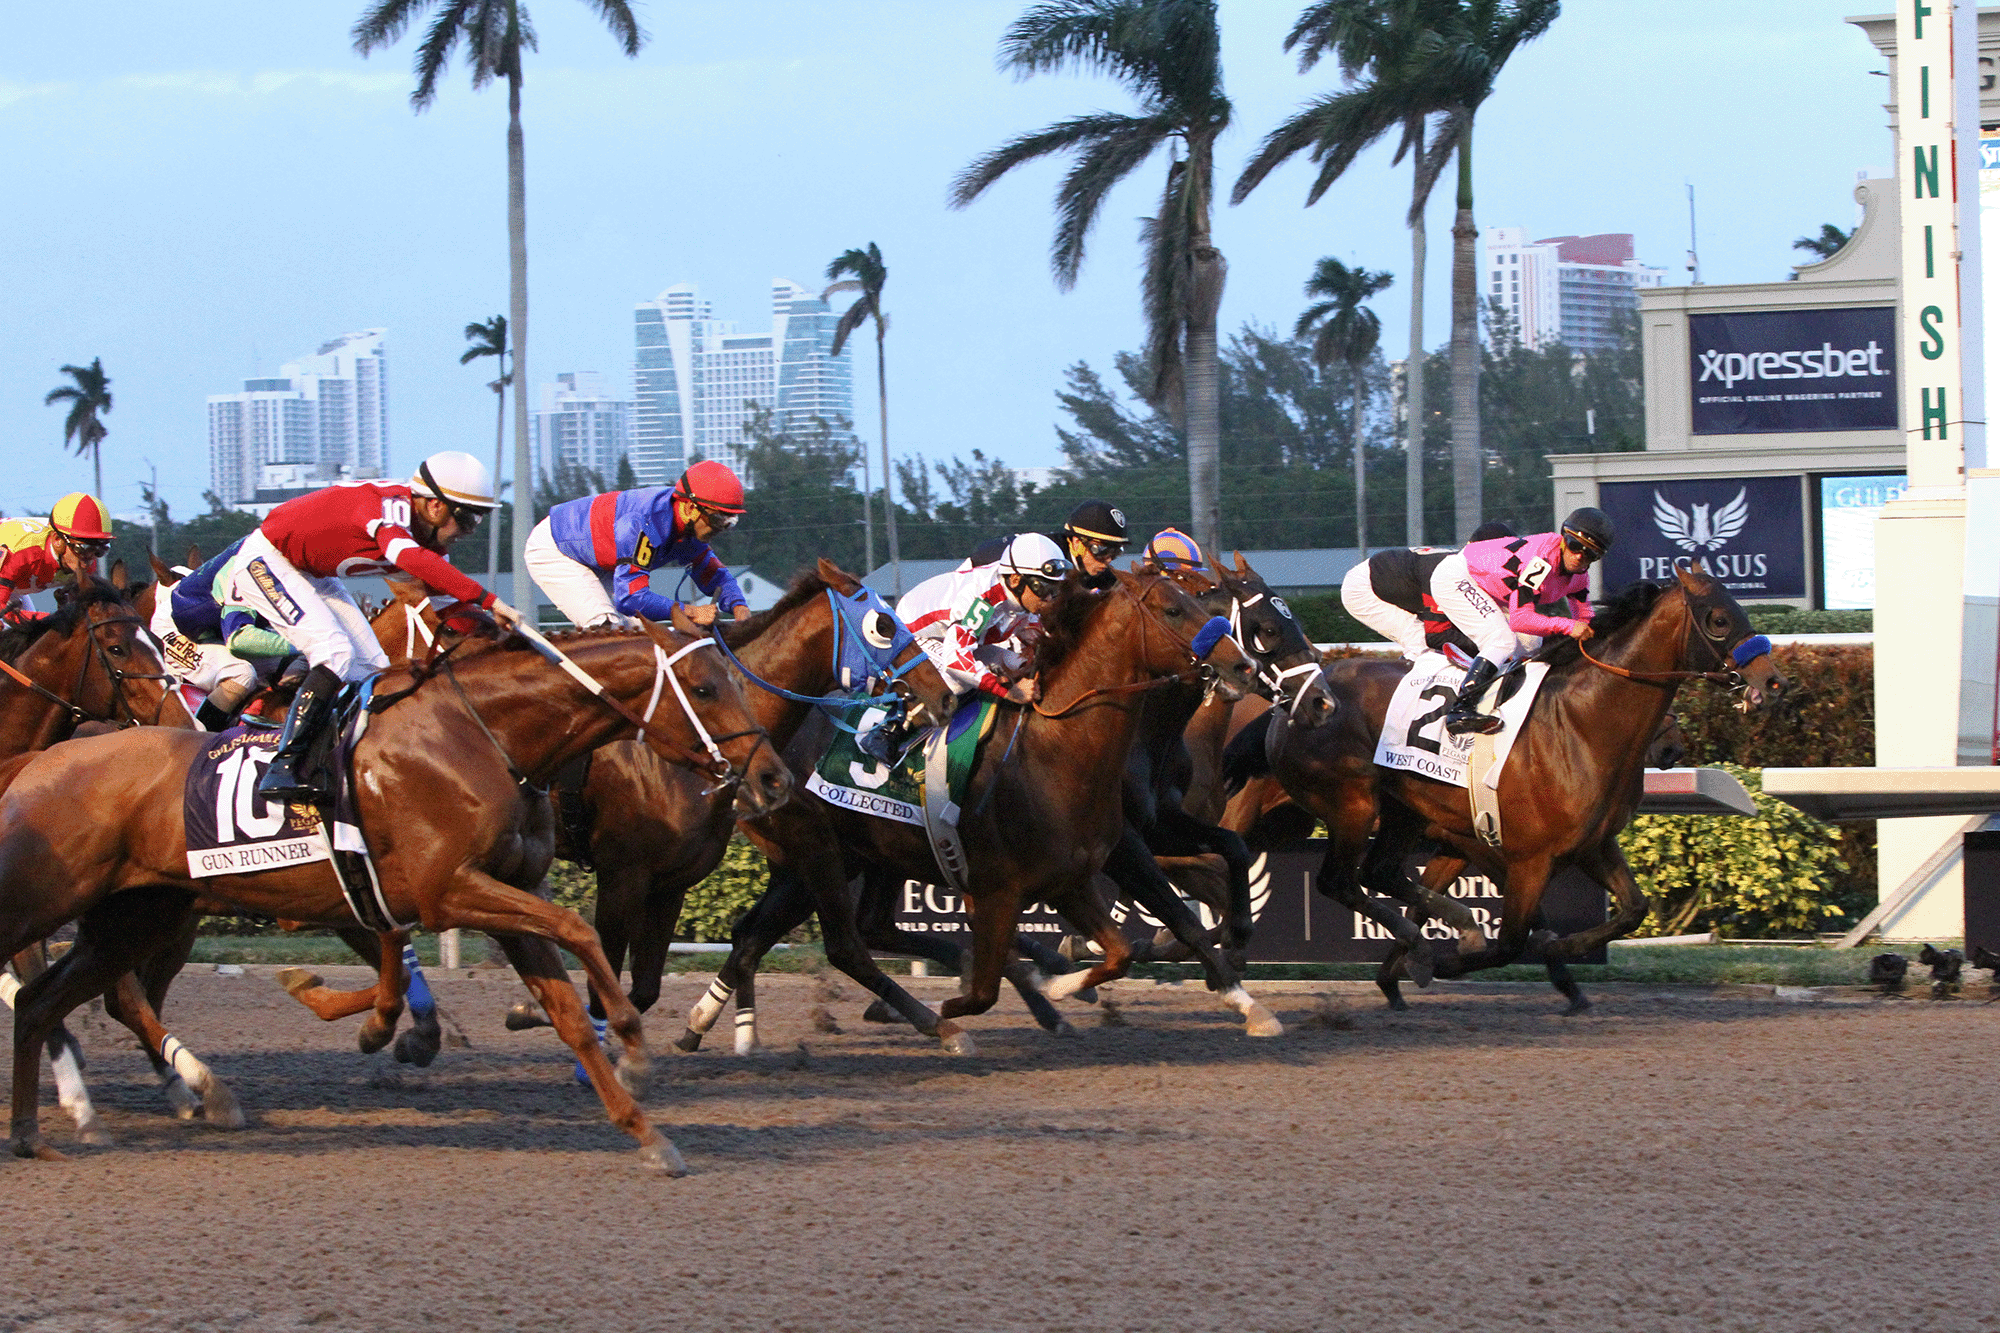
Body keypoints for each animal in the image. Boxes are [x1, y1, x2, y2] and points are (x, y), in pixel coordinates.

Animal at [0, 608, 796, 1168]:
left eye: (737, 681)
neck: (483, 736)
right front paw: (631, 1040)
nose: (774, 779)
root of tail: (39, 762)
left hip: (136, 917)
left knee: (46, 1001)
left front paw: (646, 1133)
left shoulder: (500, 896)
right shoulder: (448, 890)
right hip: (57, 900)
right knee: (58, 990)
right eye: (703, 687)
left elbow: (567, 1007)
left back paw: (38, 1130)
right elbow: (578, 932)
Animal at [680, 564, 1256, 1048]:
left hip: (858, 858)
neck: (1054, 751)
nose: (1242, 666)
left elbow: (1131, 943)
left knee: (793, 932)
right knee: (839, 943)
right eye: (1174, 609)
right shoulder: (1003, 889)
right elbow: (987, 988)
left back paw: (710, 1025)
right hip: (818, 853)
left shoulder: (1074, 876)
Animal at [1224, 564, 1792, 1008]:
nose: (1773, 683)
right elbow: (1514, 938)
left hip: (1387, 813)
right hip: (1348, 805)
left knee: (1377, 871)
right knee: (1334, 879)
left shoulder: (1590, 844)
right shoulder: (1521, 855)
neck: (1580, 723)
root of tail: (1293, 702)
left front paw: (1557, 956)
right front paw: (1456, 961)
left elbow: (1632, 909)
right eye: (1720, 619)